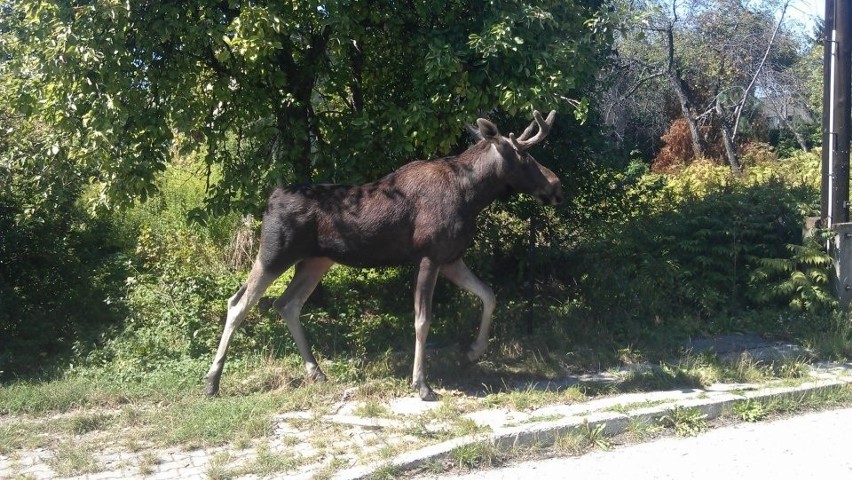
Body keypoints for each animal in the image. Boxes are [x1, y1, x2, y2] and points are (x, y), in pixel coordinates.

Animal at [205, 110, 564, 400]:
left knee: (287, 304)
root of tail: (270, 199)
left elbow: (489, 294)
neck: (474, 195)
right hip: (275, 254)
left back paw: (316, 371)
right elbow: (422, 320)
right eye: (524, 155)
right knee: (238, 303)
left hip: (316, 261)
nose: (556, 185)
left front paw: (474, 351)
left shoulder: (450, 258)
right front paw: (421, 384)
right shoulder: (429, 257)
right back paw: (212, 382)